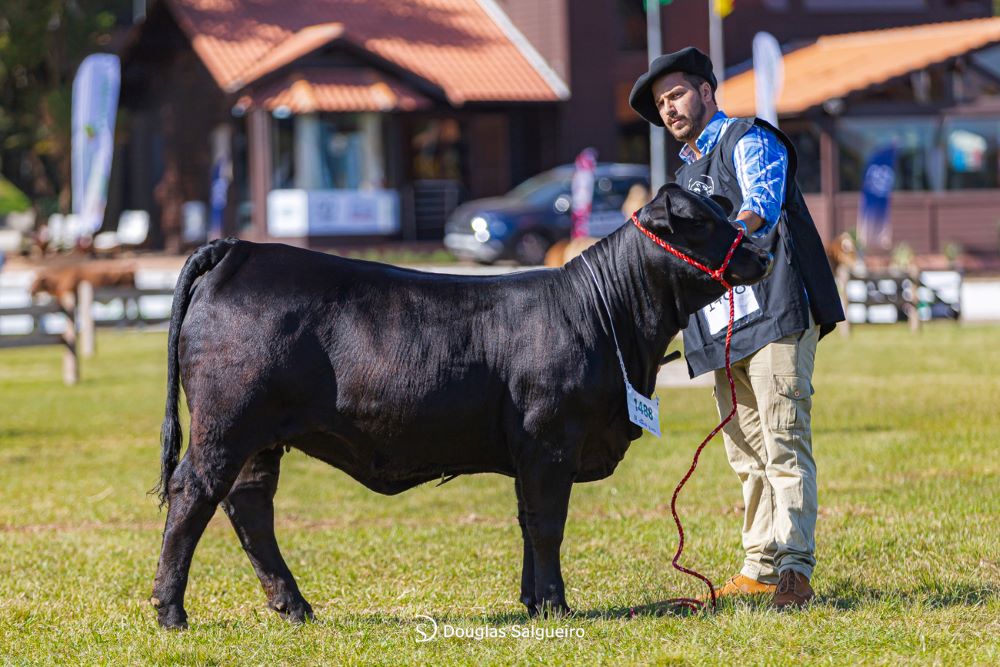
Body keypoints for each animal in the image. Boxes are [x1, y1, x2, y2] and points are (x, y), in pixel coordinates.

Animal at [150, 181, 772, 628]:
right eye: (699, 222)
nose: (762, 255)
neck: (609, 318)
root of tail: (241, 249)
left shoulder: (530, 452)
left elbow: (527, 521)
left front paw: (532, 600)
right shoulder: (550, 440)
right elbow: (547, 523)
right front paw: (555, 605)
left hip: (261, 437)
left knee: (250, 506)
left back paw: (294, 607)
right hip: (226, 423)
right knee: (194, 493)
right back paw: (171, 611)